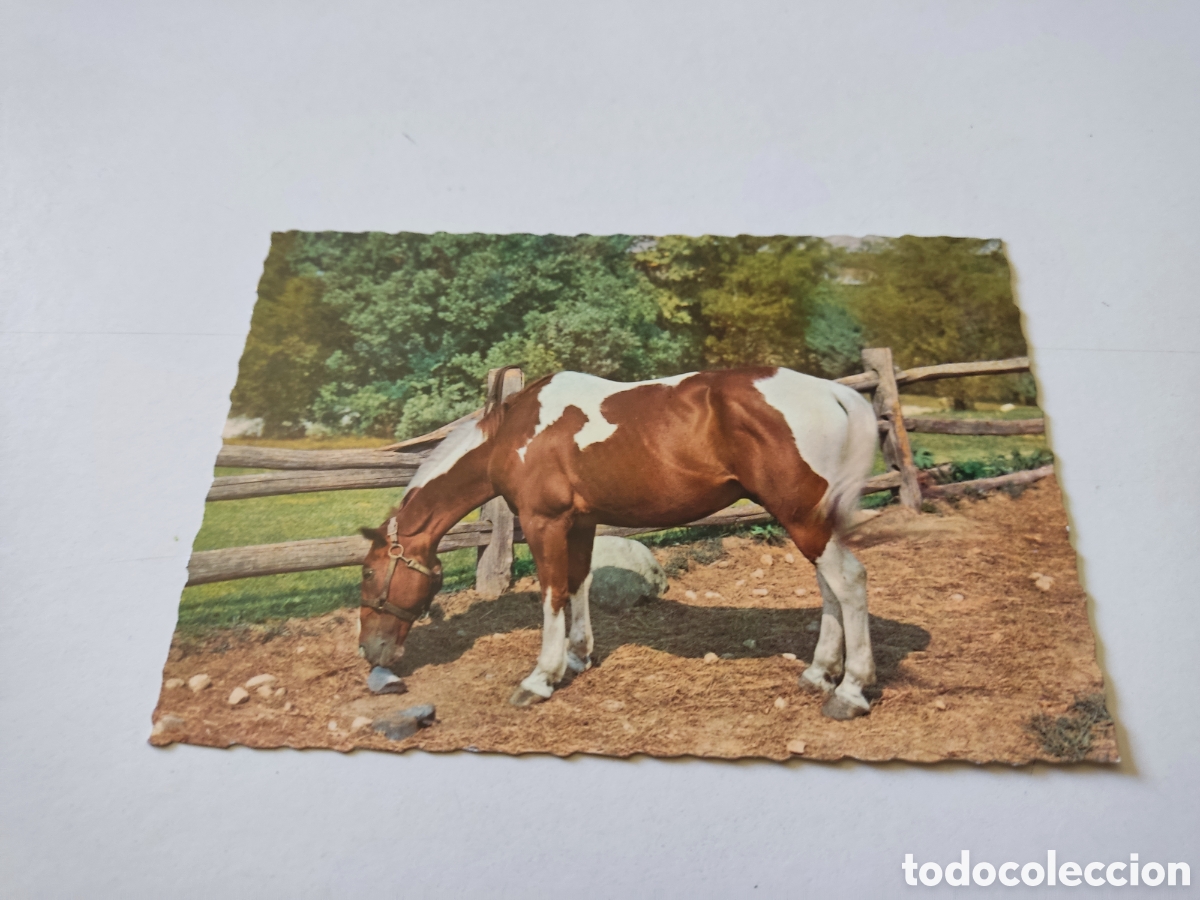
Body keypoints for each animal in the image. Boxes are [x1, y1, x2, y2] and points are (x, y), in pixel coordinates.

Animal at [357, 366, 880, 719]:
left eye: (367, 571)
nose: (370, 651)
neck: (516, 433)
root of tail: (834, 391)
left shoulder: (544, 523)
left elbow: (552, 592)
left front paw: (540, 678)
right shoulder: (581, 523)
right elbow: (578, 583)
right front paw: (577, 656)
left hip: (803, 518)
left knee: (849, 582)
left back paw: (850, 691)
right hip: (811, 522)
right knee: (829, 589)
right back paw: (818, 674)